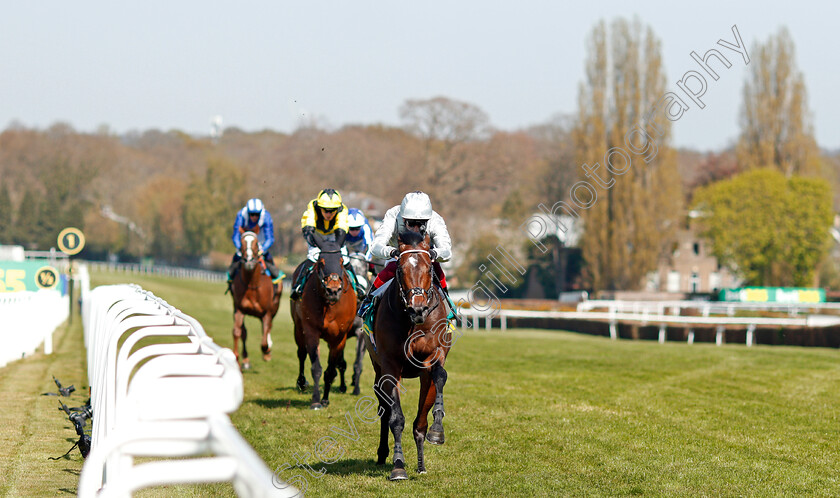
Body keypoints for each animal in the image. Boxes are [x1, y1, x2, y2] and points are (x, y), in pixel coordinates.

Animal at [290, 238, 356, 408]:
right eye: (321, 261)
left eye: (341, 261)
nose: (333, 290)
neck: (329, 307)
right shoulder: (311, 331)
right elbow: (316, 367)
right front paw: (315, 401)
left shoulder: (339, 337)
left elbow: (331, 370)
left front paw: (325, 399)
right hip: (298, 328)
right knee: (301, 353)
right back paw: (301, 382)